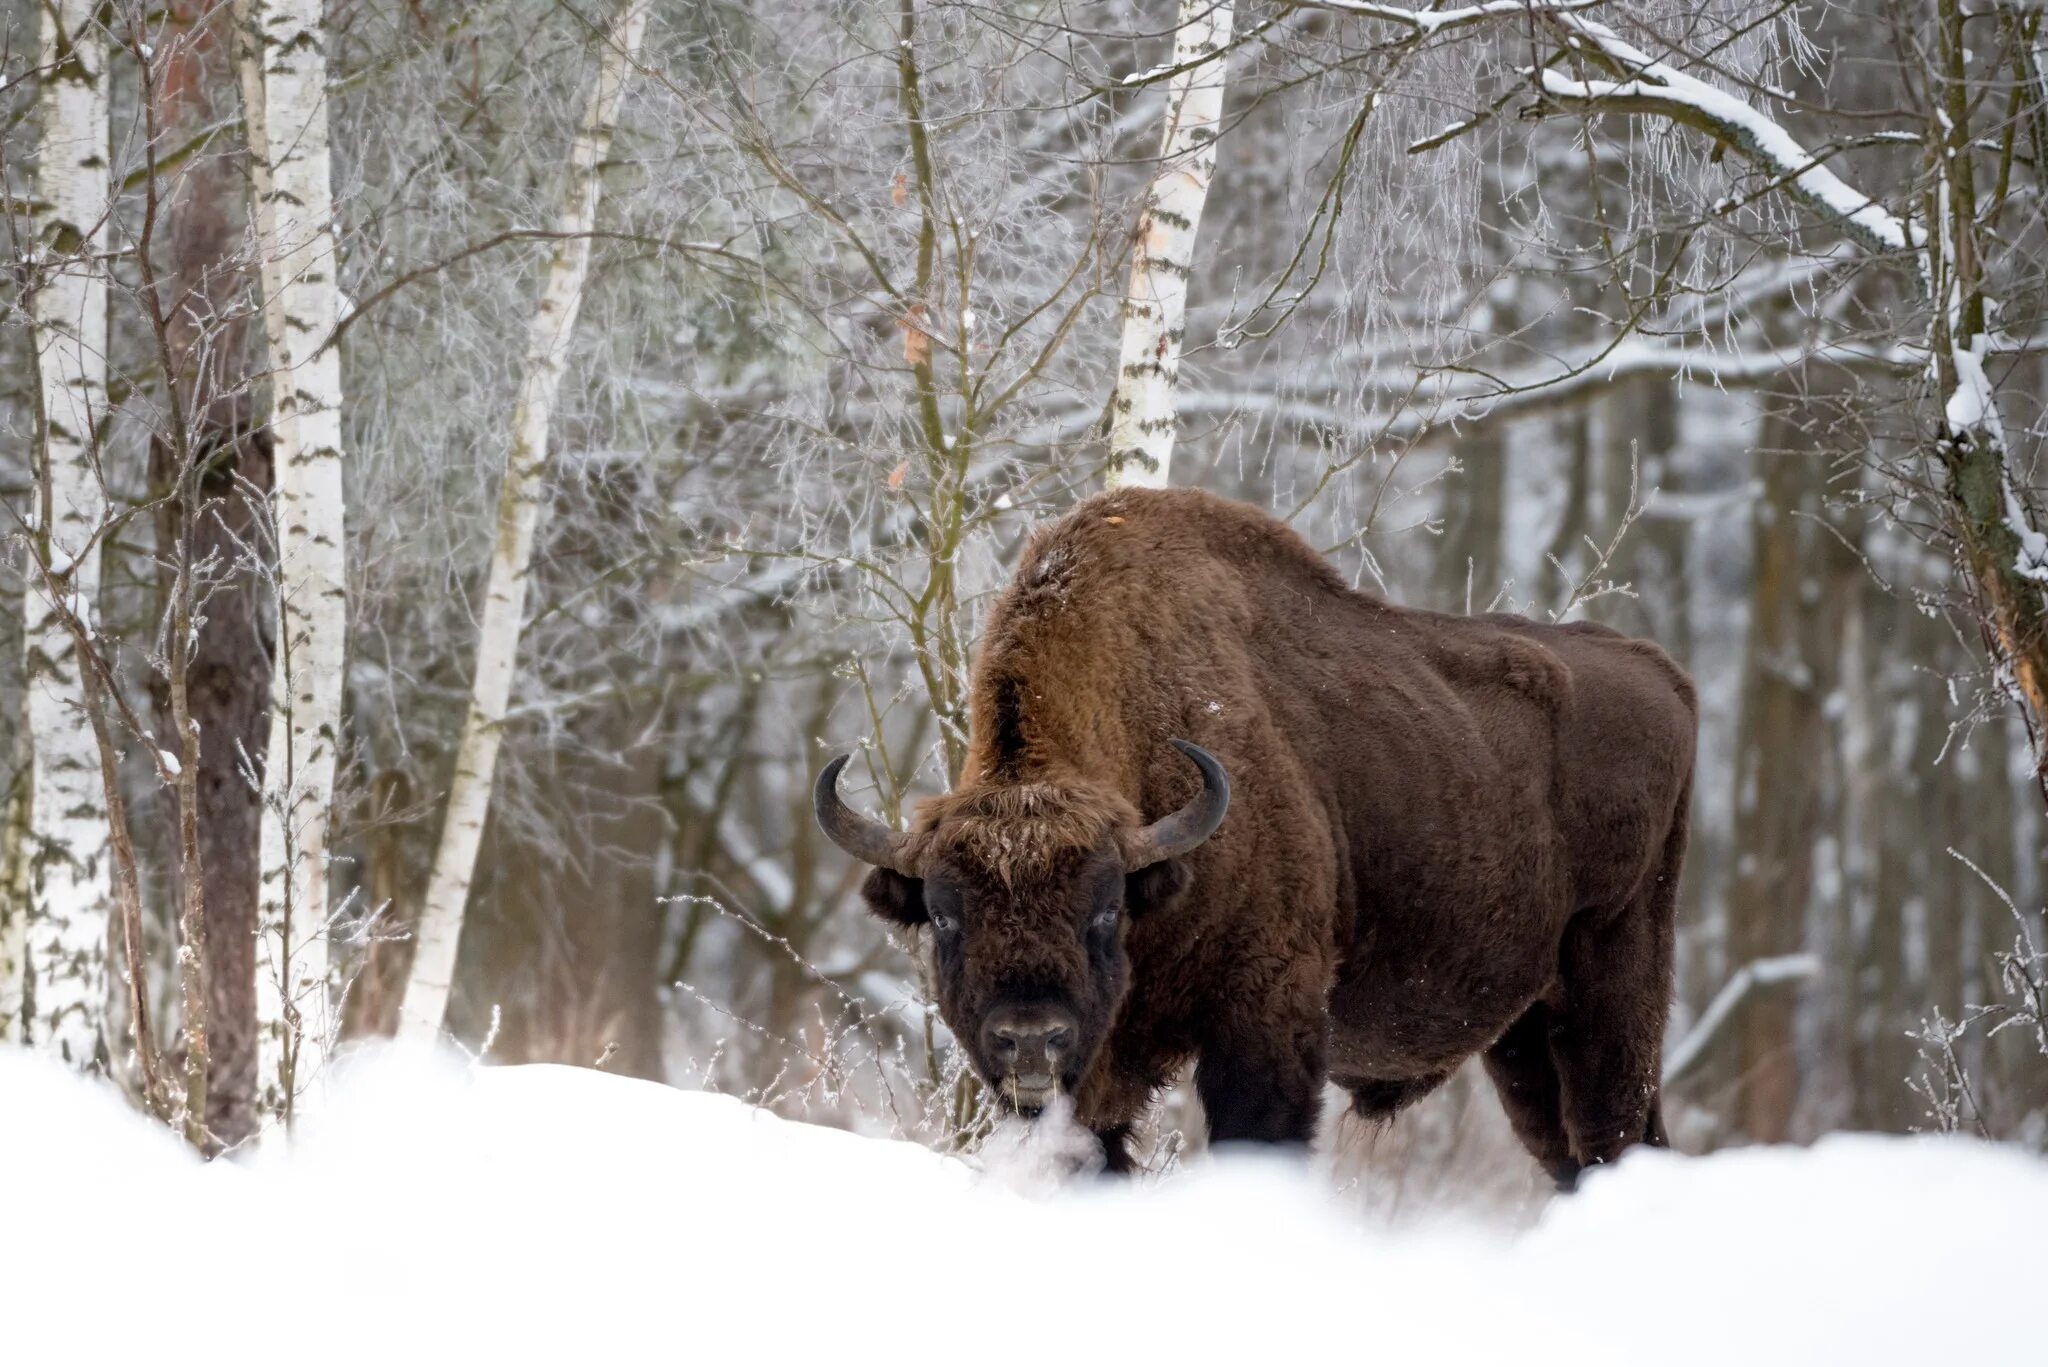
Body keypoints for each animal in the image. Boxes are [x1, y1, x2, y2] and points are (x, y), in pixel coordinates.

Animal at [815, 485, 1695, 1180]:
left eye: (1104, 909)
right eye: (945, 915)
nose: (1031, 1041)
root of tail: (1664, 673)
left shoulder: (1265, 1018)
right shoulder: (1103, 1083)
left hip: (1615, 989)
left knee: (1616, 1135)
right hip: (1523, 1036)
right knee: (1568, 1150)